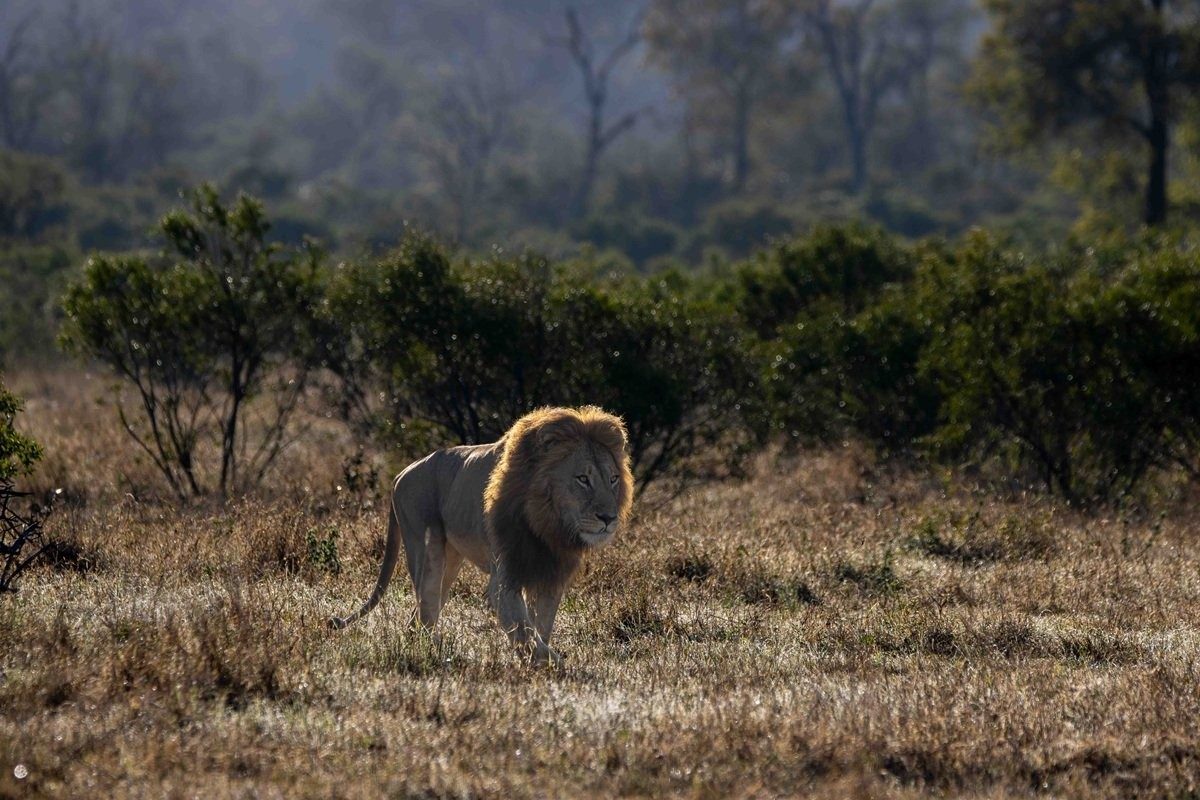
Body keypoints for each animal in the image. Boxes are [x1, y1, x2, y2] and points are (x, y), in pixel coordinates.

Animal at [330, 406, 634, 666]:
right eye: (583, 479)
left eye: (613, 479)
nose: (608, 519)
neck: (548, 525)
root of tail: (400, 473)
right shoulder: (505, 578)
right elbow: (525, 630)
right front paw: (552, 664)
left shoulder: (551, 574)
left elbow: (539, 626)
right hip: (425, 549)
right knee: (425, 611)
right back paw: (434, 655)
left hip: (450, 561)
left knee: (419, 617)